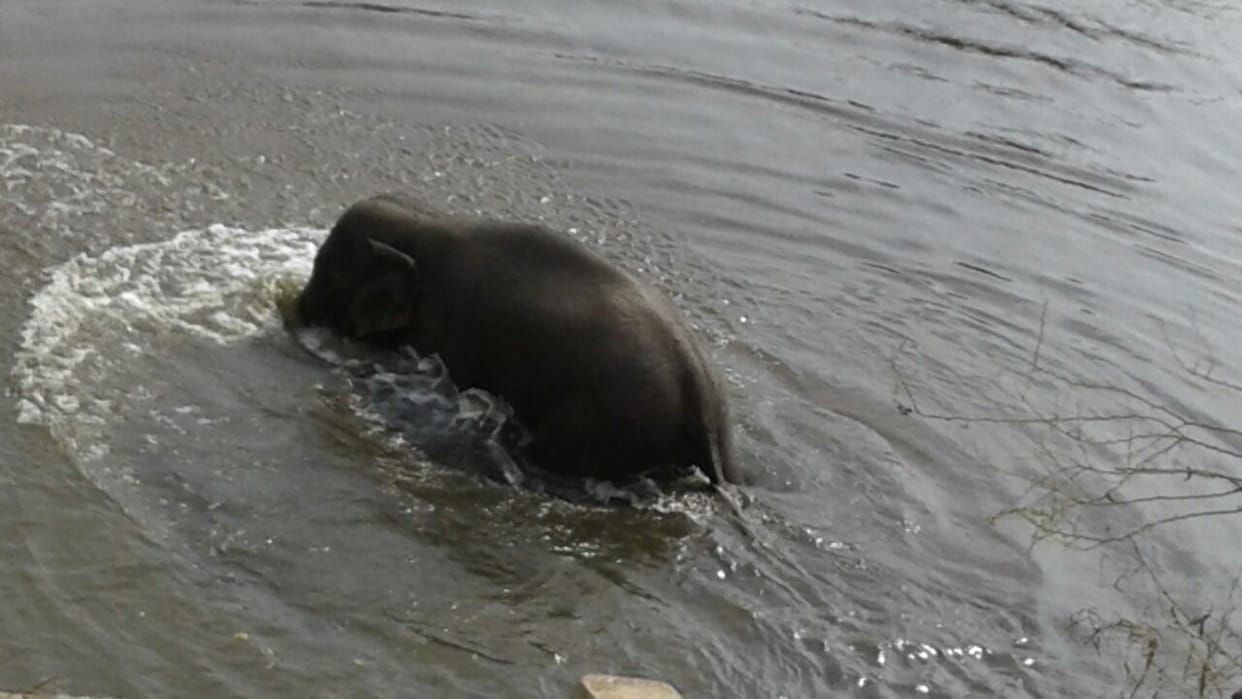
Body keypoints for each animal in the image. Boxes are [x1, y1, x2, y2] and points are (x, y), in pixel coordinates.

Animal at [293, 194, 739, 486]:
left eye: (325, 272)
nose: (292, 315)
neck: (425, 219)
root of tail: (699, 398)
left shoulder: (447, 329)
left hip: (604, 421)